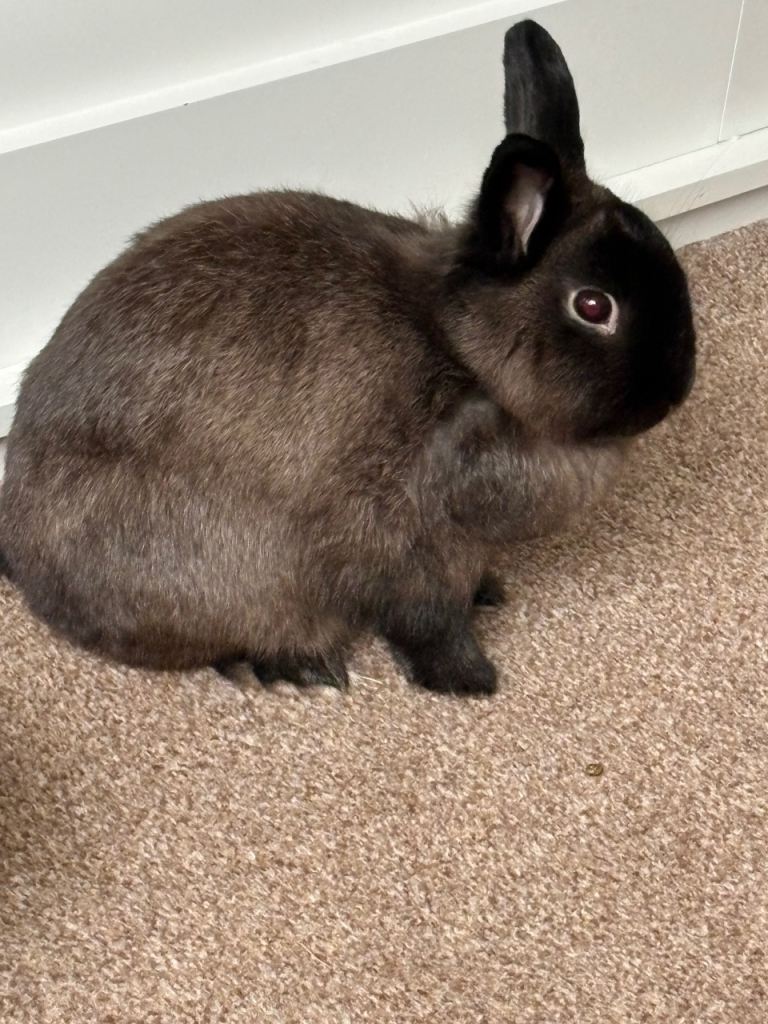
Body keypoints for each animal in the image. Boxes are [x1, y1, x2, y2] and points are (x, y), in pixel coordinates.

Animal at [0, 21, 695, 696]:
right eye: (593, 305)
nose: (674, 390)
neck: (465, 358)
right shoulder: (414, 553)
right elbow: (428, 626)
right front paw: (472, 683)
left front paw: (491, 595)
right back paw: (298, 672)